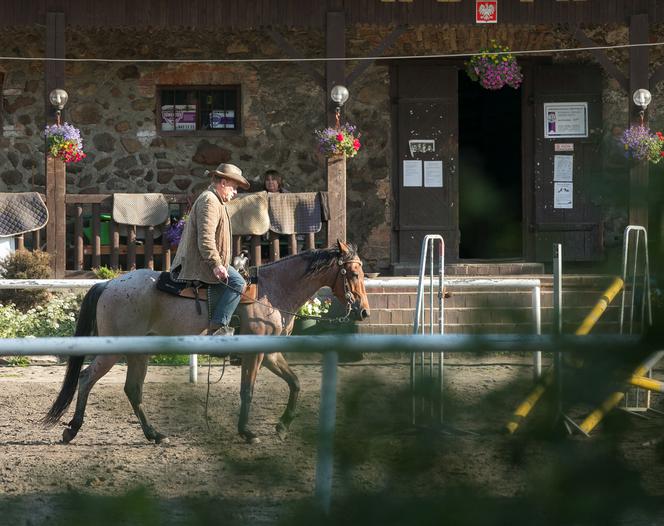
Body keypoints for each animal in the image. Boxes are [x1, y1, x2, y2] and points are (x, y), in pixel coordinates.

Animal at [43, 243, 370, 446]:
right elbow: (247, 391)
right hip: (115, 351)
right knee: (86, 378)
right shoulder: (255, 354)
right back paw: (72, 429)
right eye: (353, 273)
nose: (364, 311)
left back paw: (154, 434)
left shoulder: (270, 353)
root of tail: (109, 283)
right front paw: (247, 432)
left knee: (132, 390)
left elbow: (296, 383)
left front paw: (282, 425)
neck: (271, 291)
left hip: (140, 353)